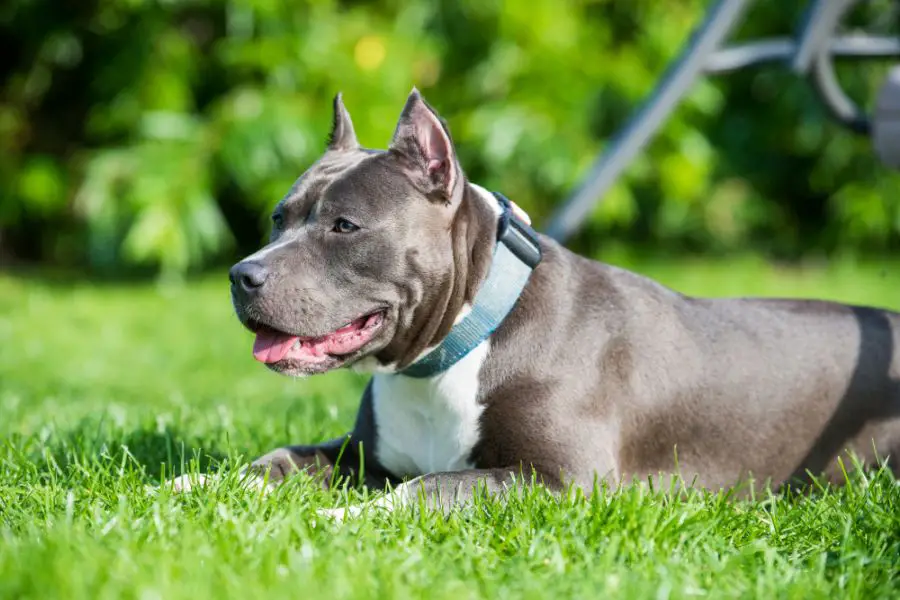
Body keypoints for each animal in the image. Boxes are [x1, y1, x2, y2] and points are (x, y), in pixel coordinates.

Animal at [172, 89, 896, 516]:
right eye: (278, 218)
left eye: (344, 226)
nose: (242, 274)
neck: (451, 350)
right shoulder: (362, 457)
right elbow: (283, 458)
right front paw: (201, 485)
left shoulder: (558, 481)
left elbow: (428, 489)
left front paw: (343, 519)